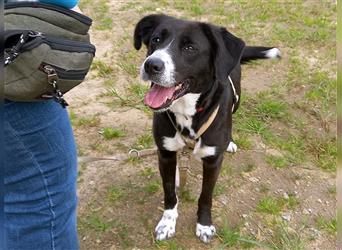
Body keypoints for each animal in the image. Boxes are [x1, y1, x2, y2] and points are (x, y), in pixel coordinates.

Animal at [132, 14, 280, 243]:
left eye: (190, 48)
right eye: (156, 40)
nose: (151, 65)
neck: (186, 112)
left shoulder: (213, 161)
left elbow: (206, 196)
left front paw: (204, 225)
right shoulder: (165, 153)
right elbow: (169, 192)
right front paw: (167, 223)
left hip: (237, 100)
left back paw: (230, 143)